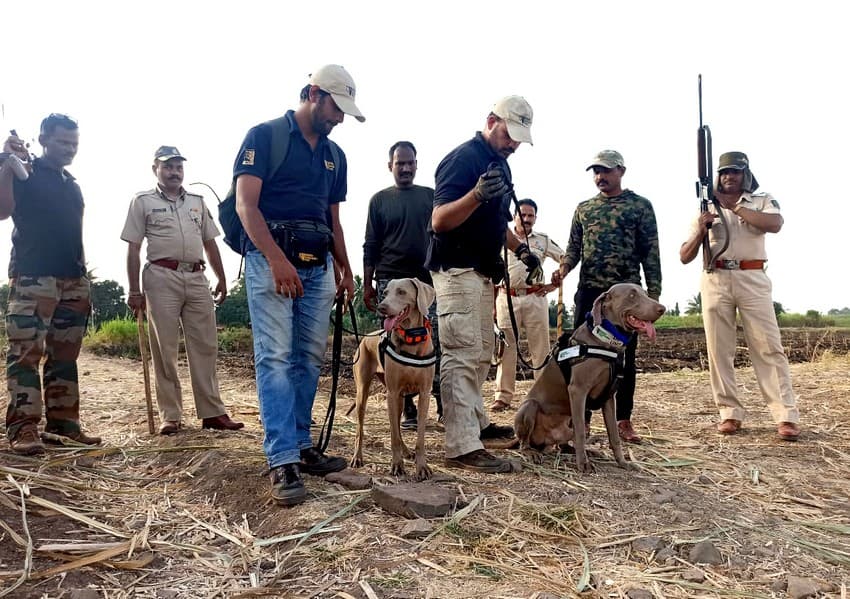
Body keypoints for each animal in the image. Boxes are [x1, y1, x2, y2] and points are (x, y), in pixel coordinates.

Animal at [350, 278, 434, 480]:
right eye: (385, 293)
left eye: (402, 292)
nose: (381, 307)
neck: (412, 339)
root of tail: (366, 337)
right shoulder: (392, 392)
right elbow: (394, 435)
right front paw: (396, 465)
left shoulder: (424, 394)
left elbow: (419, 437)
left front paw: (422, 466)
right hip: (363, 393)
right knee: (360, 430)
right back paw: (357, 457)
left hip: (400, 398)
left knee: (396, 424)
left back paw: (406, 451)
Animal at [512, 284, 664, 476]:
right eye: (631, 295)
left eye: (644, 293)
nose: (662, 308)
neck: (606, 340)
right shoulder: (577, 391)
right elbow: (581, 433)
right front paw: (583, 464)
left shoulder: (609, 397)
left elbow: (614, 435)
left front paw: (623, 462)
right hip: (529, 407)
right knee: (525, 443)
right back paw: (532, 453)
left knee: (564, 445)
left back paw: (588, 451)